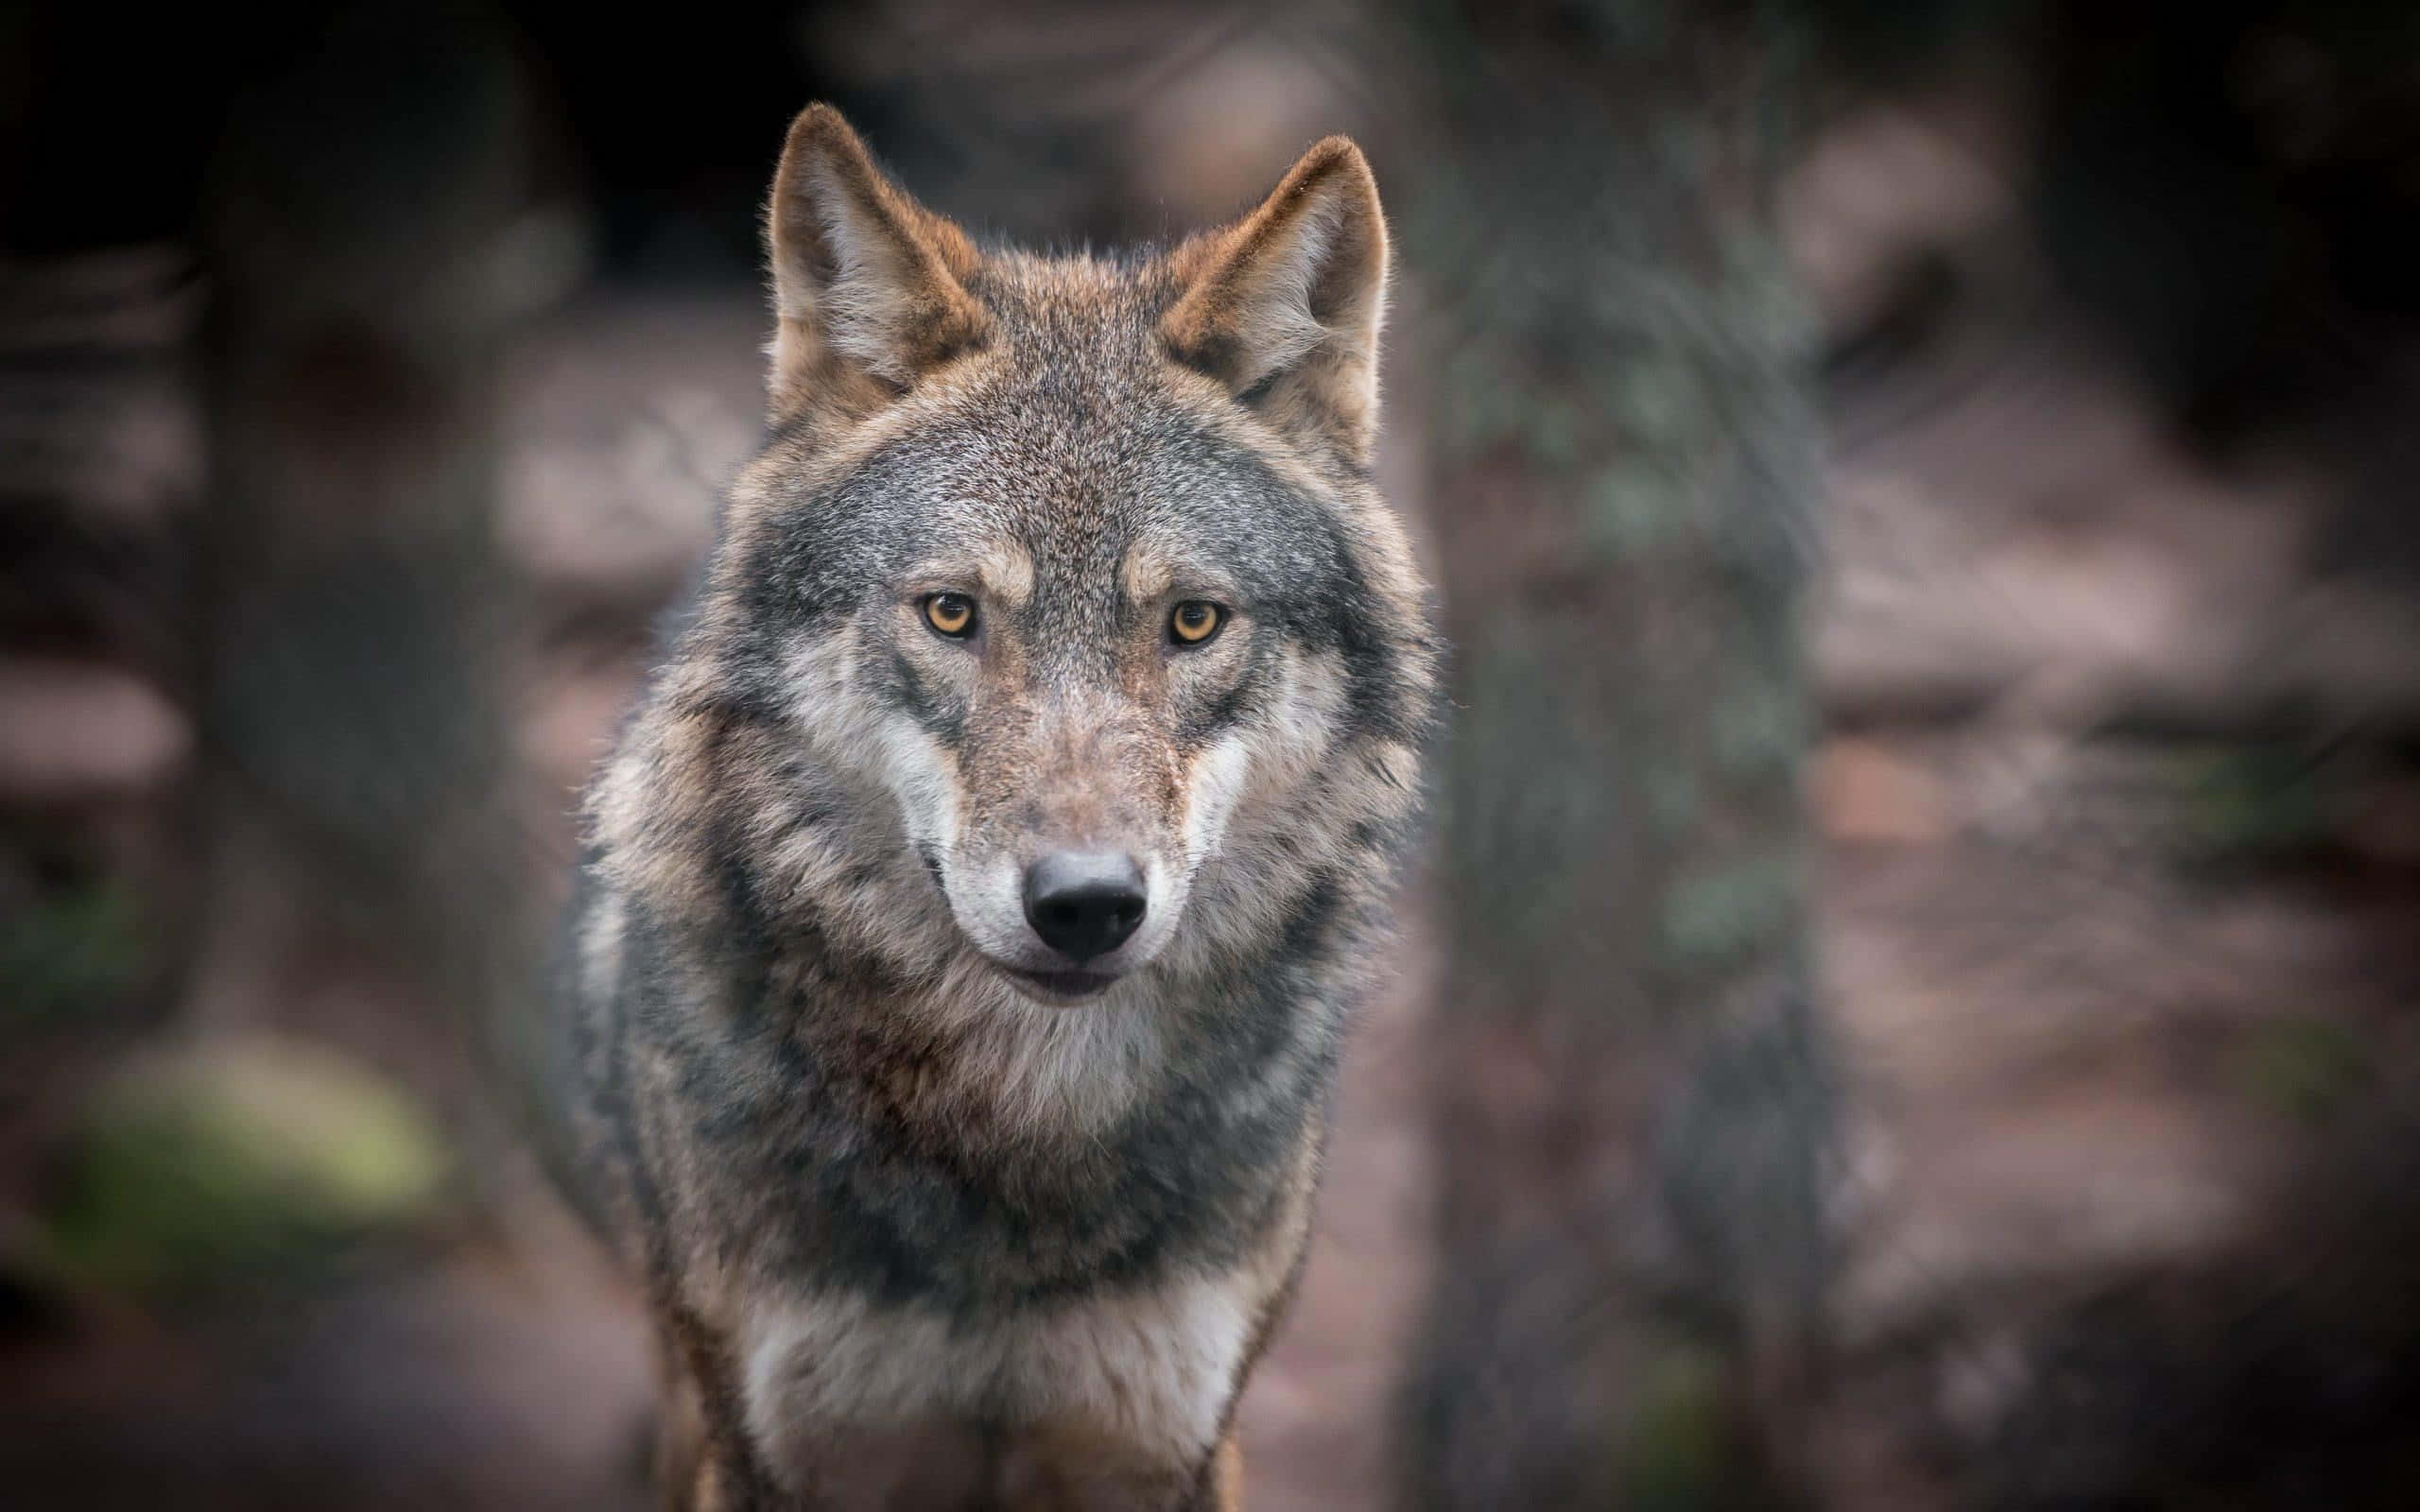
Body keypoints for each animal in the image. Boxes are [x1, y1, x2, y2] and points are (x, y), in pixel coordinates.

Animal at [538, 103, 1439, 1510]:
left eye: (1194, 622)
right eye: (953, 612)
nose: (1086, 907)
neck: (1024, 1140)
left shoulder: (1169, 1443)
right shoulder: (777, 1449)